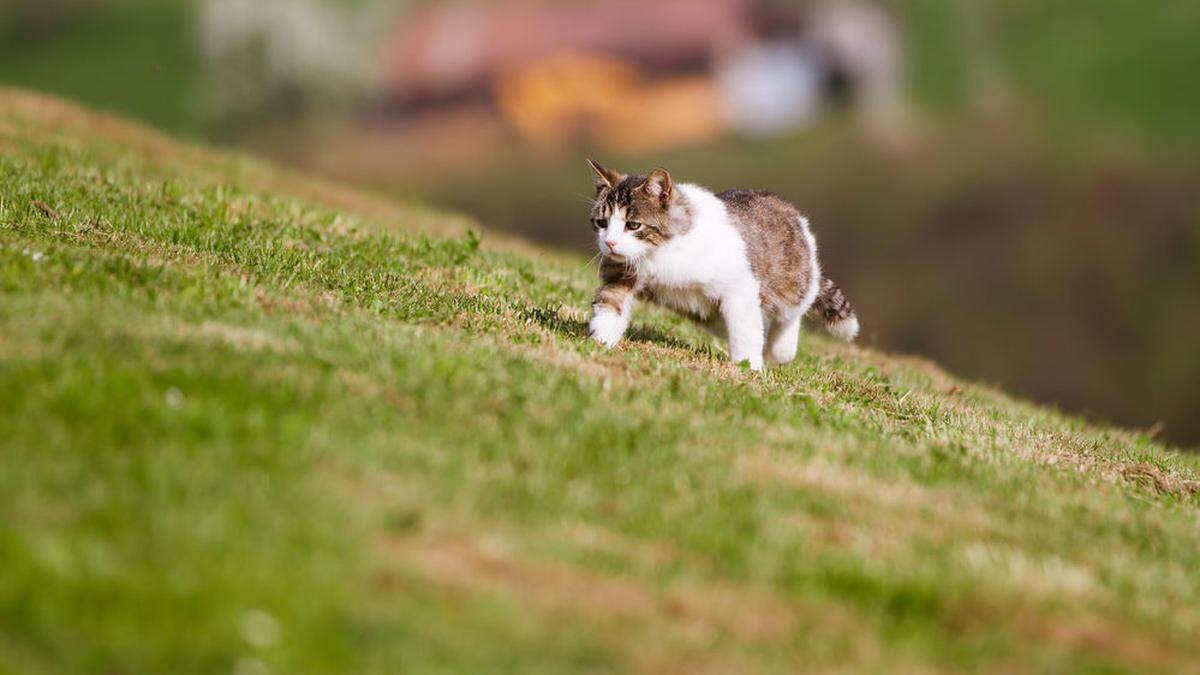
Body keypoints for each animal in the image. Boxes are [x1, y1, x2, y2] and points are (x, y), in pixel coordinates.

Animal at [585, 159, 859, 369]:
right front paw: (602, 340)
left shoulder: (739, 290)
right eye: (602, 222)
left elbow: (744, 332)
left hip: (793, 282)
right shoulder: (622, 274)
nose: (609, 243)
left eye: (633, 225)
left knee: (794, 310)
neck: (661, 252)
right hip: (709, 314)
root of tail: (791, 212)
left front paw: (749, 368)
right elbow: (611, 303)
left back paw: (782, 348)